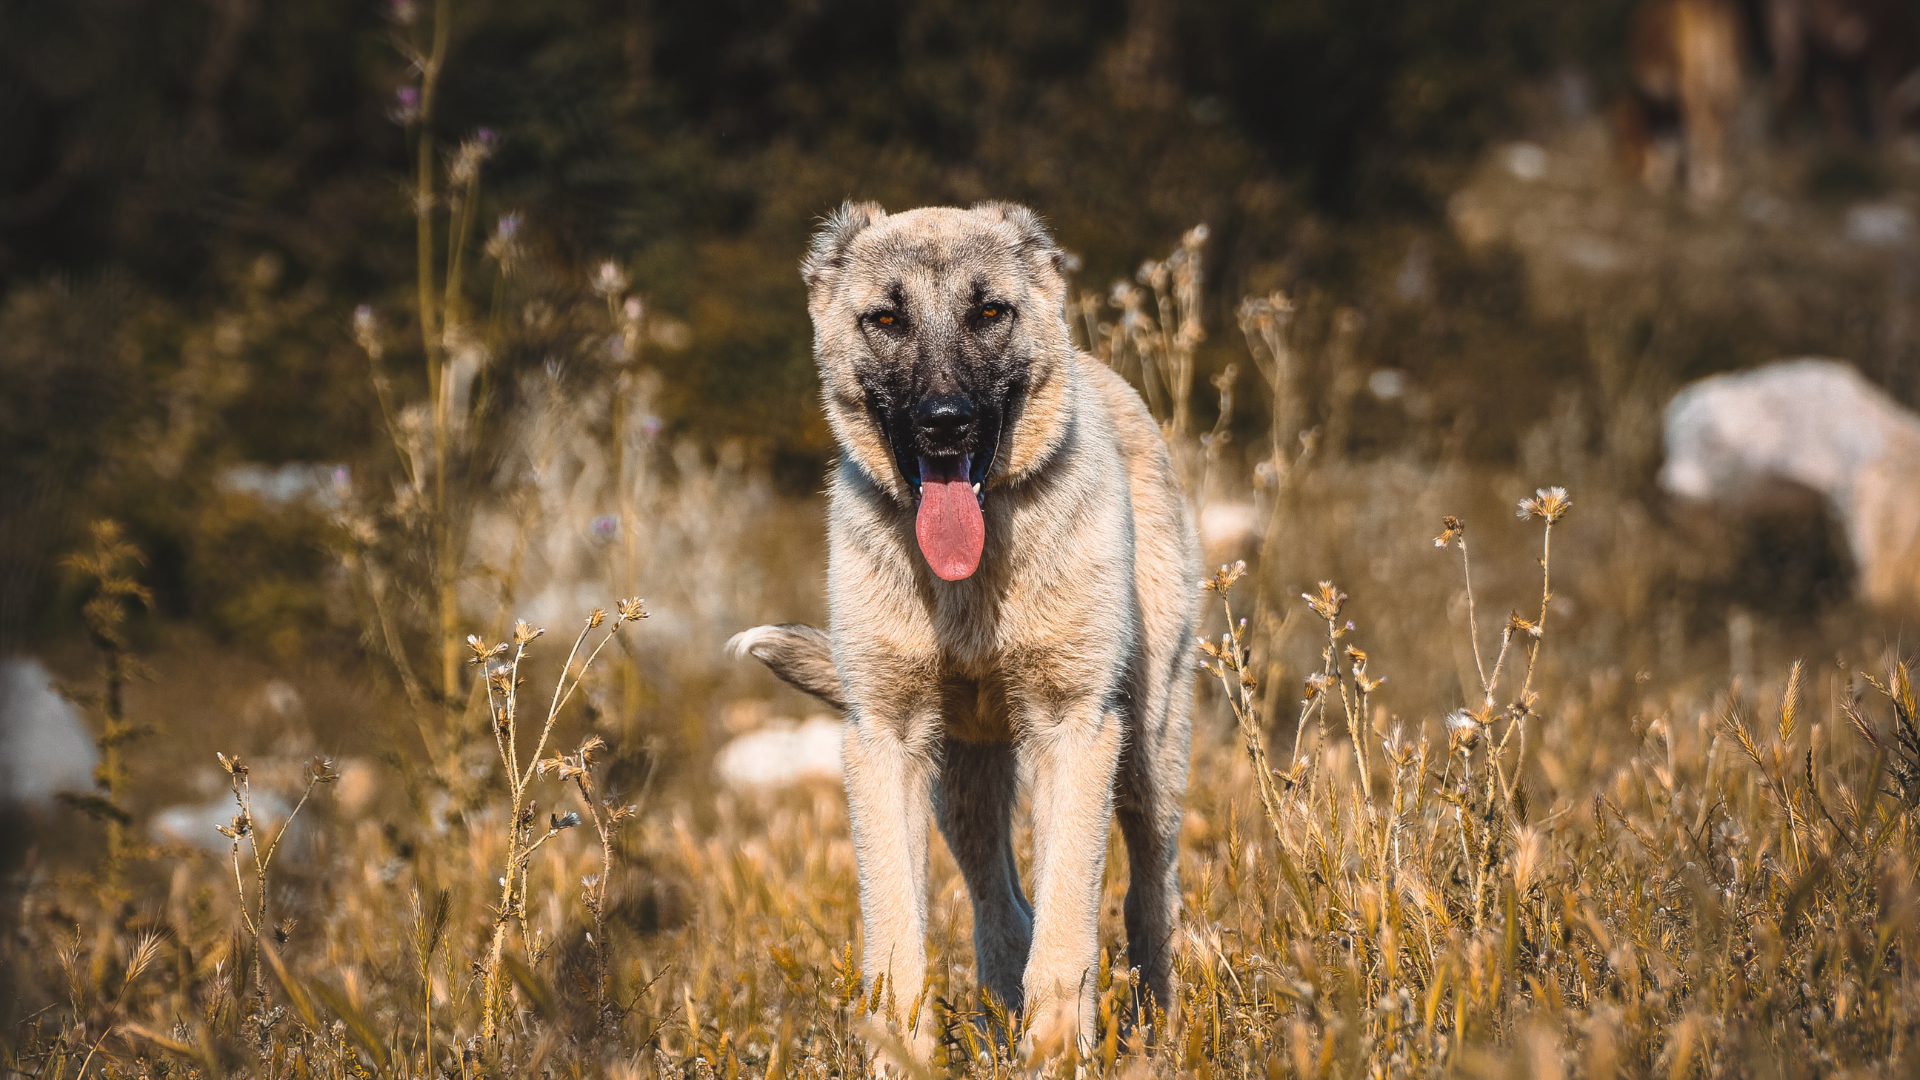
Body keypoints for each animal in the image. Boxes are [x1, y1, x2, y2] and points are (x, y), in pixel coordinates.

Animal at [729, 199, 1198, 1045]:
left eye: (989, 312)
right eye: (886, 317)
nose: (944, 423)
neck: (970, 588)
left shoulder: (1075, 731)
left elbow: (1068, 933)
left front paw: (1058, 1052)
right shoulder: (886, 744)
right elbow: (896, 940)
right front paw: (904, 1054)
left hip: (1149, 755)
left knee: (1148, 893)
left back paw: (1153, 1027)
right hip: (962, 786)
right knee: (1002, 905)